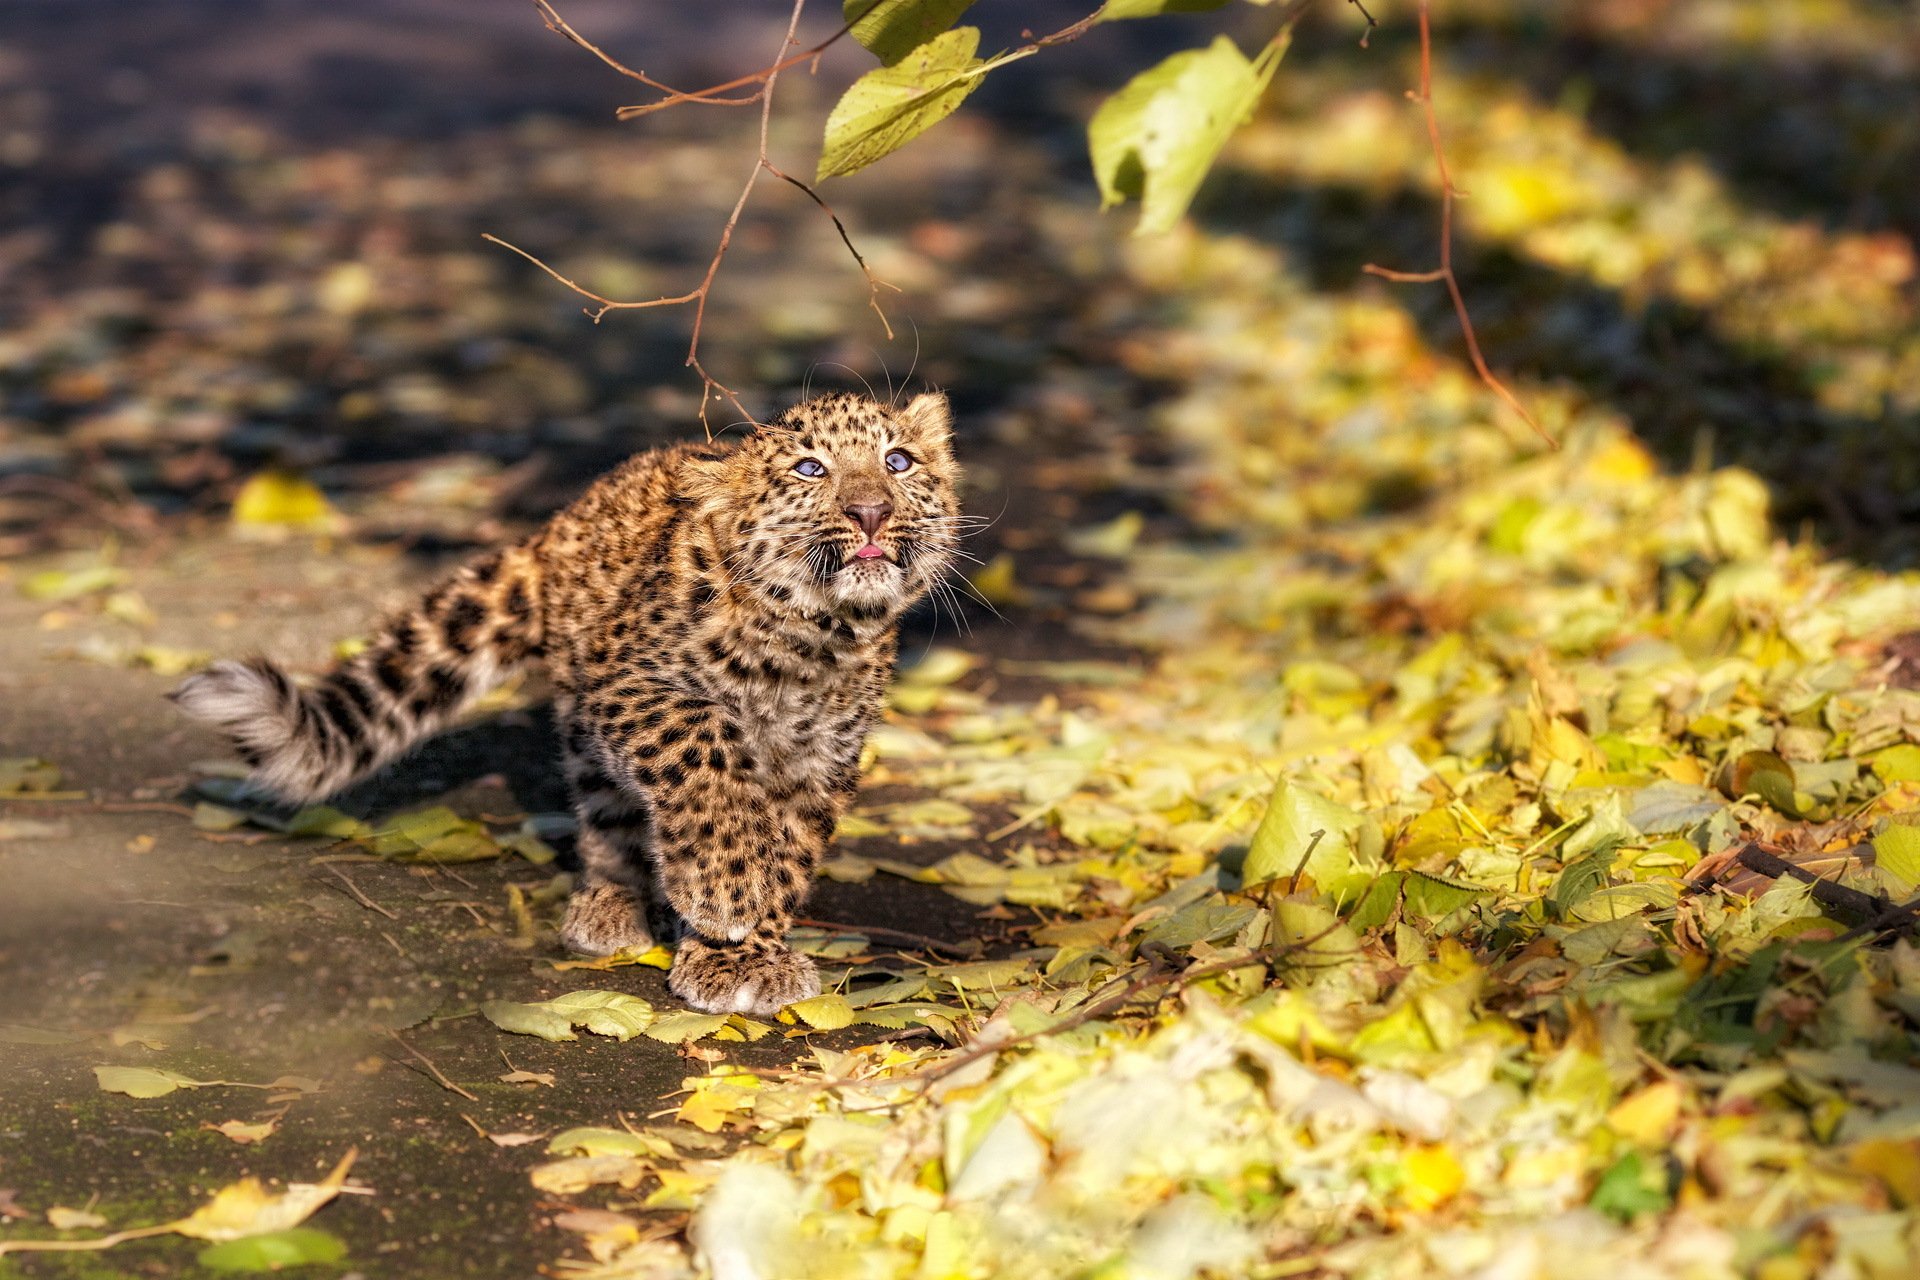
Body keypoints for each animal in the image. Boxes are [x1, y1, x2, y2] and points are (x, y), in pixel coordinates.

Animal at [172, 391, 963, 1015]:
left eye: (898, 462)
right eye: (809, 470)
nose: (870, 511)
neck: (815, 638)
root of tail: (561, 520)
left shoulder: (821, 759)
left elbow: (791, 849)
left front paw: (748, 952)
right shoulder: (632, 686)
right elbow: (706, 749)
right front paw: (723, 895)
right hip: (587, 718)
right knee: (606, 815)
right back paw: (609, 905)